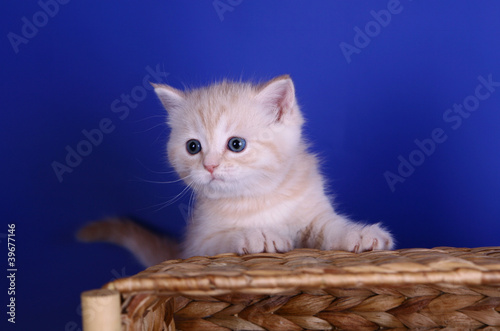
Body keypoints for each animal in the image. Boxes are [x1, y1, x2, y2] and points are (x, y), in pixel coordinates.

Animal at [78, 75, 392, 268]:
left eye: (236, 144)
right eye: (193, 147)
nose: (210, 165)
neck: (259, 197)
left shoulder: (311, 213)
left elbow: (330, 226)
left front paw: (359, 233)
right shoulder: (198, 246)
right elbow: (225, 239)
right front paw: (258, 236)